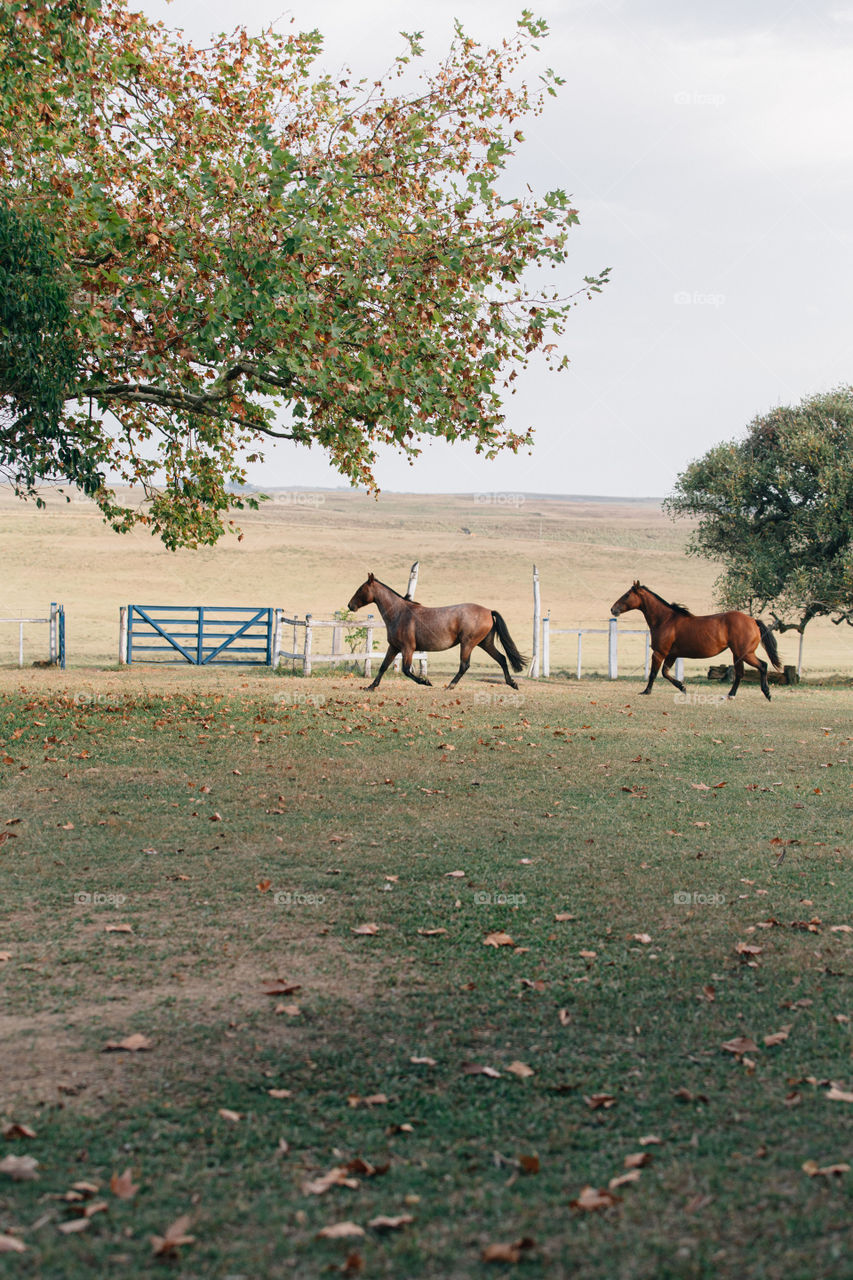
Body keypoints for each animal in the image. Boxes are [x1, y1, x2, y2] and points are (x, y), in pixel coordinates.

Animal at [347, 573, 526, 691]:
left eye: (360, 589)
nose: (350, 605)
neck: (399, 613)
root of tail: (489, 611)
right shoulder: (394, 647)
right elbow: (383, 666)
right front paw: (370, 686)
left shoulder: (408, 648)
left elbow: (406, 670)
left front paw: (426, 682)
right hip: (485, 643)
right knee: (502, 659)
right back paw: (512, 683)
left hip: (468, 643)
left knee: (465, 665)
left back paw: (450, 686)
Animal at [610, 581, 782, 700]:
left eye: (627, 595)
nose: (613, 609)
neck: (665, 620)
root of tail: (753, 621)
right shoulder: (671, 655)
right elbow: (665, 673)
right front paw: (682, 687)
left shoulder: (659, 653)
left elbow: (654, 673)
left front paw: (646, 691)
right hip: (738, 655)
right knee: (740, 674)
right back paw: (730, 695)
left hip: (745, 653)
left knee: (763, 666)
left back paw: (767, 693)